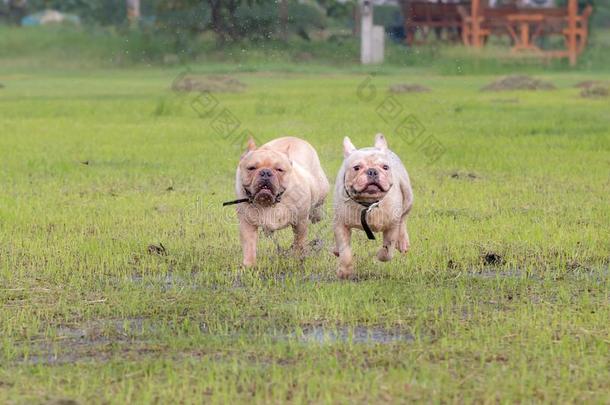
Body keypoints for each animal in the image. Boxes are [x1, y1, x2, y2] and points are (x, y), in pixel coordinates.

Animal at [232, 137, 328, 266]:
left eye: (279, 170)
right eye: (251, 168)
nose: (266, 172)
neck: (268, 203)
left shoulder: (300, 222)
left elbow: (299, 242)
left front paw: (296, 260)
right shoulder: (247, 224)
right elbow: (249, 245)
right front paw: (249, 265)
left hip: (321, 189)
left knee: (317, 208)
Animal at [332, 133, 414, 278]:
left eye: (385, 167)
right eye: (356, 168)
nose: (372, 171)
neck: (369, 203)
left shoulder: (392, 226)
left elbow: (388, 250)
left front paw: (380, 255)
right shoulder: (341, 224)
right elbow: (345, 251)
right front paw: (345, 272)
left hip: (408, 194)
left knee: (403, 218)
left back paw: (403, 242)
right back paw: (336, 250)